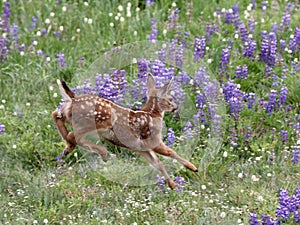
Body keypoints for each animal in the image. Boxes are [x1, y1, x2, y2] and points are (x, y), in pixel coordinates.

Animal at [52, 73, 197, 188]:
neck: (152, 114)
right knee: (73, 135)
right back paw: (103, 153)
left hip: (70, 115)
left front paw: (172, 185)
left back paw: (68, 149)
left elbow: (158, 164)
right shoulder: (152, 140)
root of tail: (73, 99)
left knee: (56, 115)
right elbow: (170, 152)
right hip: (96, 122)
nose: (175, 107)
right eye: (170, 99)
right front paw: (192, 168)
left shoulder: (140, 148)